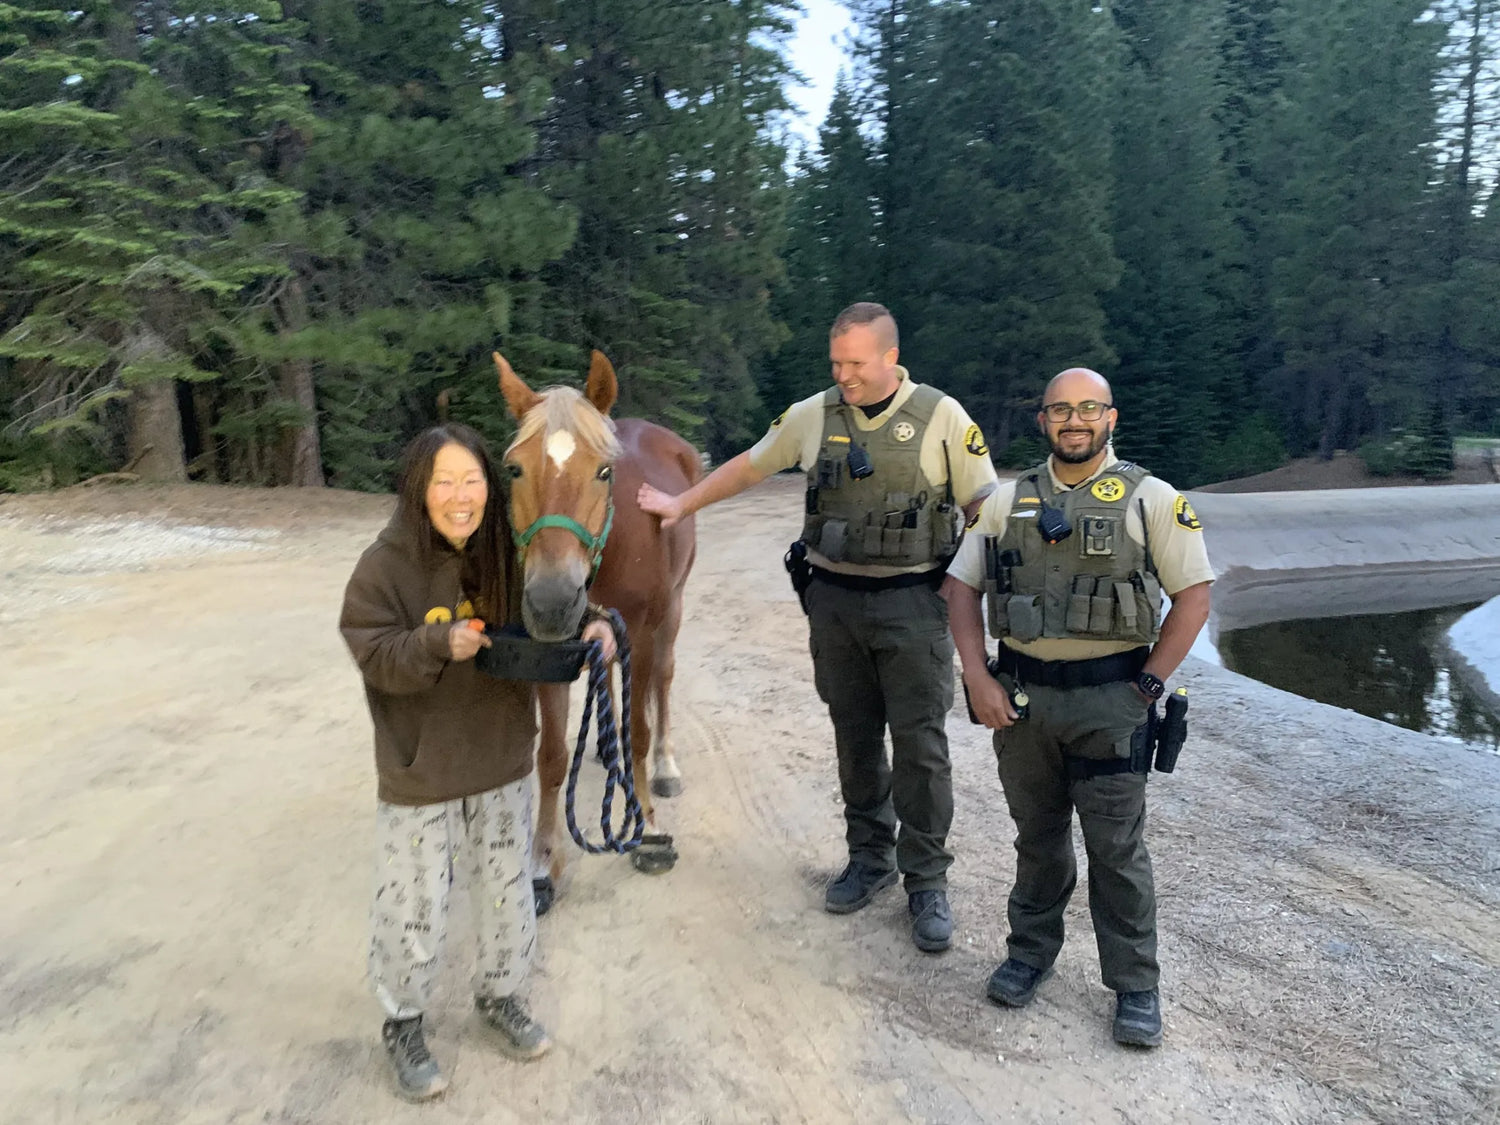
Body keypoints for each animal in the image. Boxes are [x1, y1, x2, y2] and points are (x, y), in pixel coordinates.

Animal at [493, 349, 700, 912]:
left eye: (604, 471)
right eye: (514, 468)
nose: (551, 600)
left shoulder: (643, 635)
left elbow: (640, 731)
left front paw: (647, 827)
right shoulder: (549, 650)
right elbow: (551, 757)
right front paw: (543, 864)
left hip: (672, 613)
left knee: (662, 685)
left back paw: (665, 767)